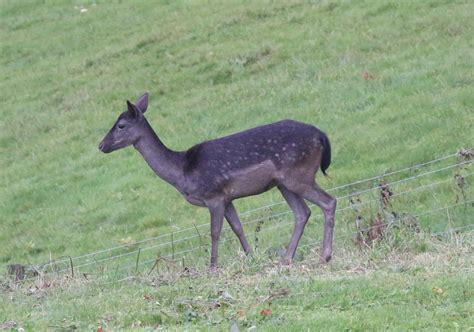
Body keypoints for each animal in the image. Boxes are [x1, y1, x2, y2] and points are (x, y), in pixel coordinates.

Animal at [98, 93, 336, 270]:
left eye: (120, 125)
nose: (101, 145)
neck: (182, 172)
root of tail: (322, 136)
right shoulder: (227, 198)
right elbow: (238, 228)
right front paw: (251, 257)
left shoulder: (213, 196)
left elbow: (214, 232)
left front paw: (212, 267)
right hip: (284, 182)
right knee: (302, 213)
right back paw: (287, 258)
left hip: (298, 174)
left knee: (329, 201)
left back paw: (324, 256)